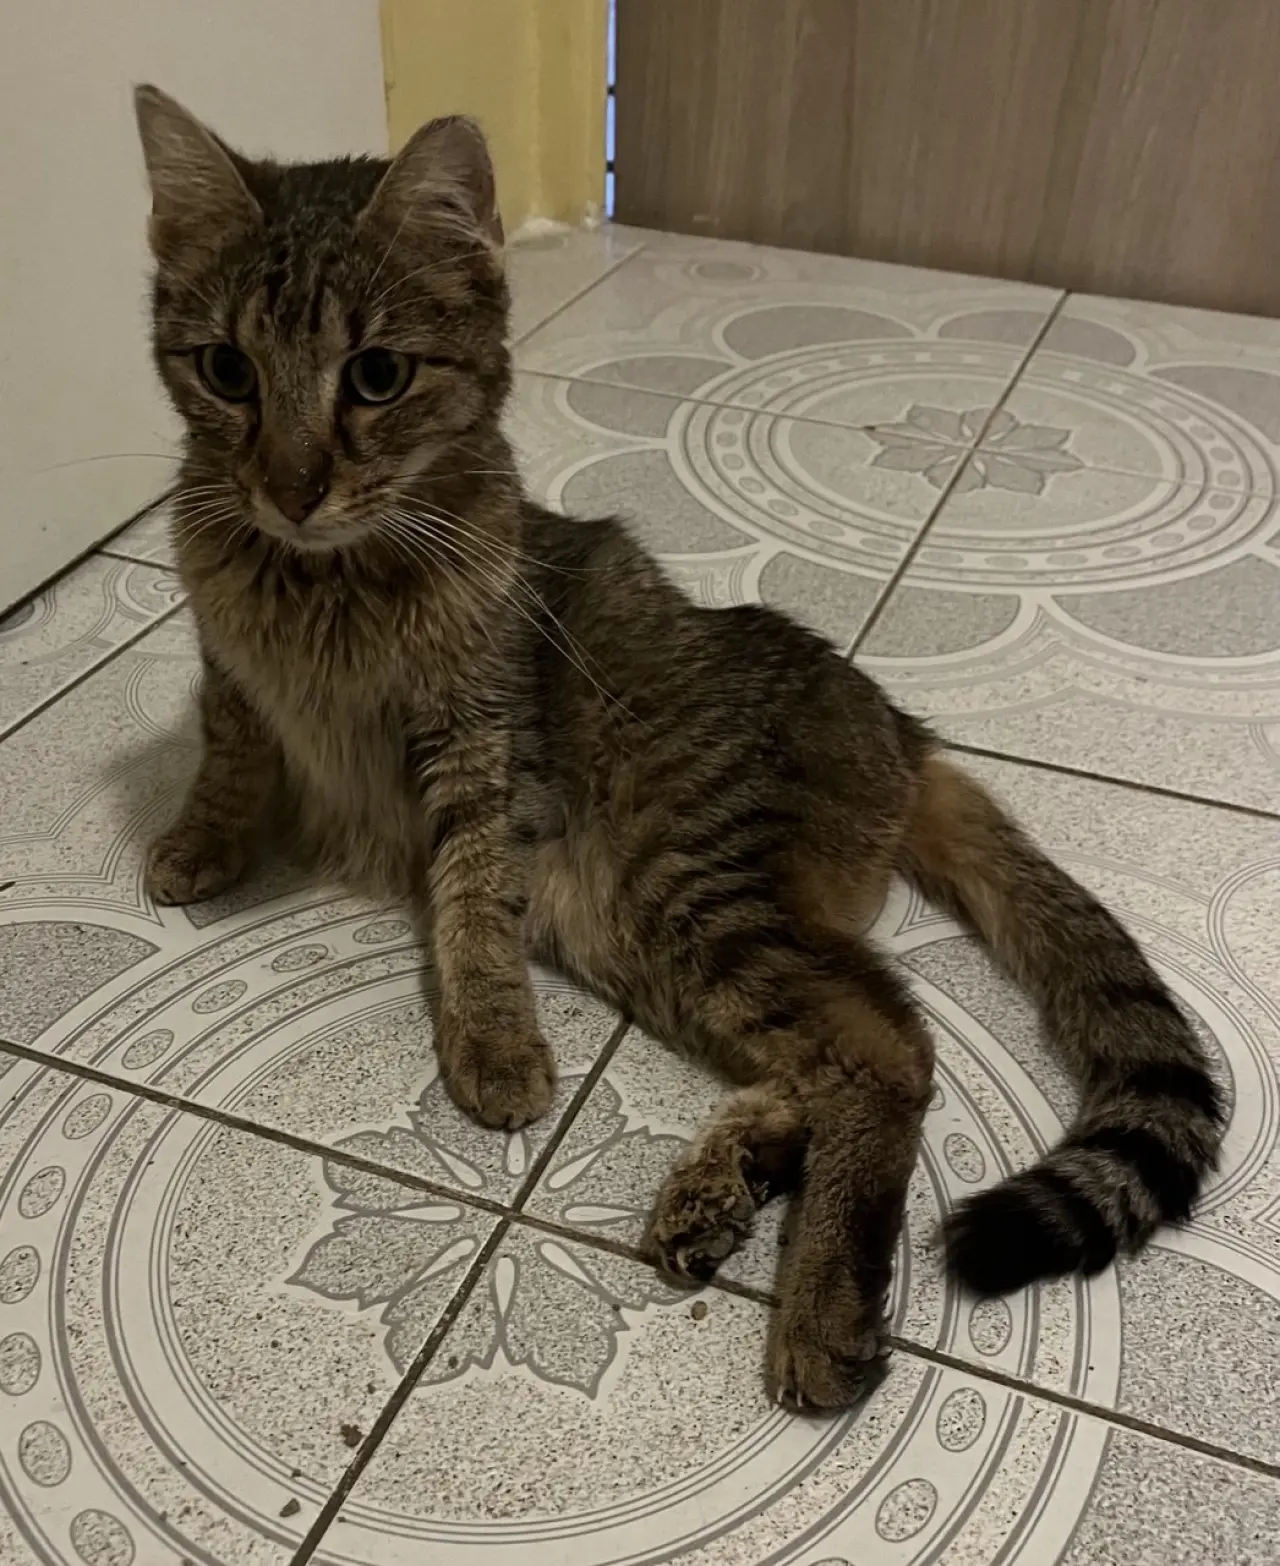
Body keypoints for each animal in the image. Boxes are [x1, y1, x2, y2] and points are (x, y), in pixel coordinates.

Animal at [133, 85, 1225, 1410]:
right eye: (228, 371)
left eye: (377, 376)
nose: (289, 488)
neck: (317, 581)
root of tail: (899, 729)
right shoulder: (228, 670)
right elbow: (230, 753)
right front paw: (201, 839)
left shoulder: (476, 741)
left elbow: (466, 909)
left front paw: (489, 1040)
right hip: (635, 930)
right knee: (831, 1051)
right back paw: (721, 1189)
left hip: (681, 884)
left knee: (887, 1050)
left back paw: (821, 1301)